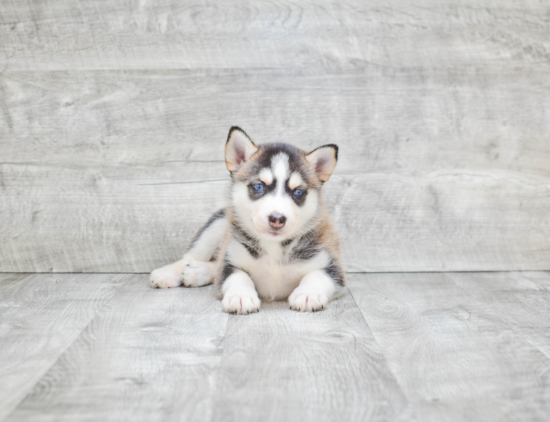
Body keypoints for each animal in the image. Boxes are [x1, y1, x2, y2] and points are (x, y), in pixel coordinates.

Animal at [151, 125, 344, 314]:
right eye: (258, 186)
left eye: (298, 192)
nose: (277, 219)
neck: (274, 248)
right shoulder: (230, 262)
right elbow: (238, 275)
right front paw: (241, 296)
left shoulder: (332, 267)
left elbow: (317, 275)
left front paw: (308, 294)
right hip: (218, 223)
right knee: (193, 256)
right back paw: (169, 273)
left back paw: (198, 272)